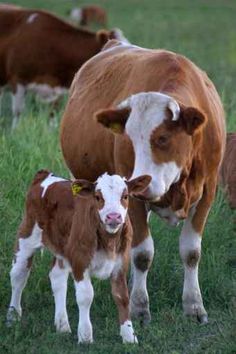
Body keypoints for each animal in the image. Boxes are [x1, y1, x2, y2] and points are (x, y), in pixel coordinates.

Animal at [6, 170, 151, 344]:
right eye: (97, 197)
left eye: (125, 196)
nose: (114, 216)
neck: (108, 240)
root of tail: (45, 175)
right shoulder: (79, 261)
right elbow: (85, 296)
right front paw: (85, 336)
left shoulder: (120, 264)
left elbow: (122, 297)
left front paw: (129, 336)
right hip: (26, 235)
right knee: (18, 275)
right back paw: (12, 316)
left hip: (63, 248)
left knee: (57, 277)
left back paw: (62, 325)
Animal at [60, 40, 227, 324]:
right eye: (128, 139)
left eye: (163, 138)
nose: (145, 182)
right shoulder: (133, 196)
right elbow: (142, 254)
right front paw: (139, 307)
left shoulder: (208, 192)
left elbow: (191, 251)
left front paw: (194, 305)